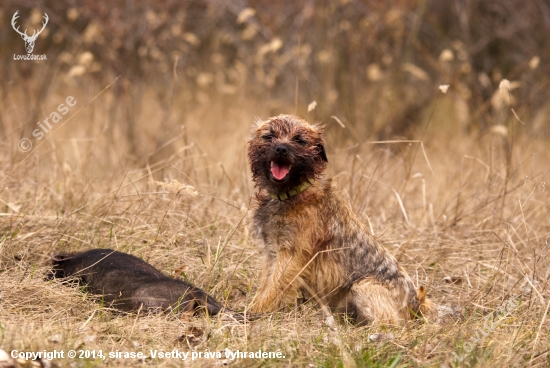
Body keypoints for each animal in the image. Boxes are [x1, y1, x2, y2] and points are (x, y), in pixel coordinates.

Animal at [249, 113, 436, 324]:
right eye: (269, 136)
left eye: (299, 140)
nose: (281, 148)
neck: (292, 194)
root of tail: (417, 304)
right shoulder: (273, 255)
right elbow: (266, 285)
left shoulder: (291, 257)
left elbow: (273, 289)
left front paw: (256, 313)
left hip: (362, 286)